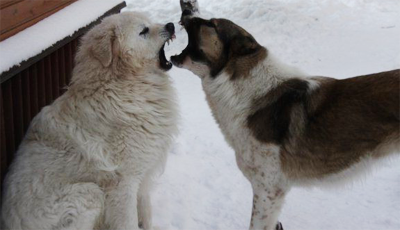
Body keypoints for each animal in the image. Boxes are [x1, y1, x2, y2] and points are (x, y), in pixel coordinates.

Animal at [0, 12, 178, 230]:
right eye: (143, 31)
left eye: (150, 22)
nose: (170, 26)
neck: (120, 84)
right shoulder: (123, 183)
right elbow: (128, 221)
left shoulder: (143, 171)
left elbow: (145, 209)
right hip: (89, 194)